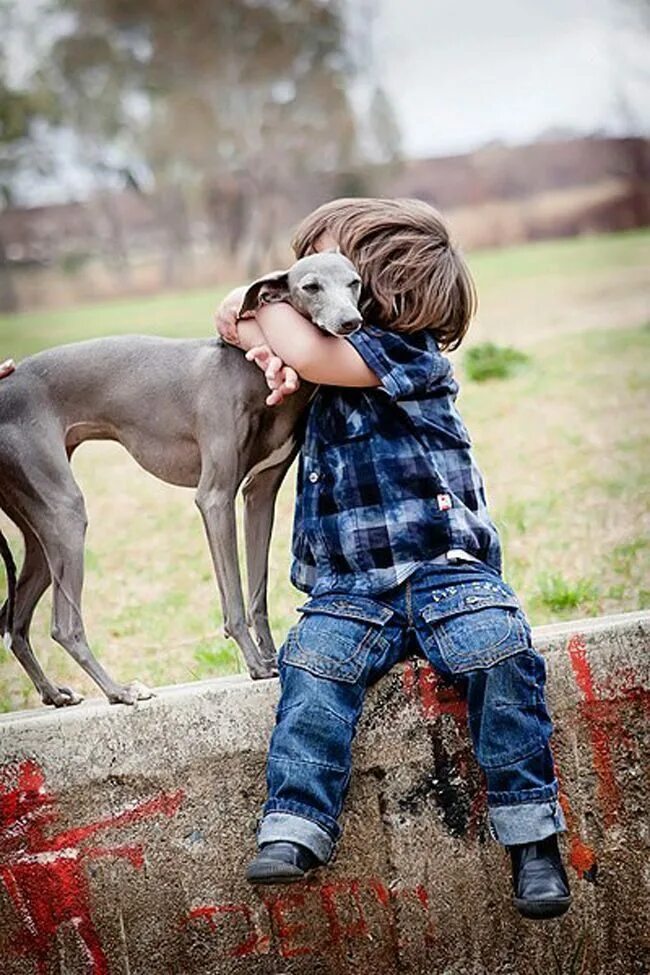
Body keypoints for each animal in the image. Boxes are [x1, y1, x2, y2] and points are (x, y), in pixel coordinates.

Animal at [0, 250, 362, 708]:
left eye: (354, 282)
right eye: (310, 286)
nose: (350, 322)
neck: (250, 373)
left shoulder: (260, 494)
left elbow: (257, 592)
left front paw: (270, 656)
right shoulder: (215, 497)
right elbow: (234, 599)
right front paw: (256, 664)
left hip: (40, 536)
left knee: (14, 622)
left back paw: (54, 693)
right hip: (65, 515)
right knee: (64, 625)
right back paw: (120, 691)